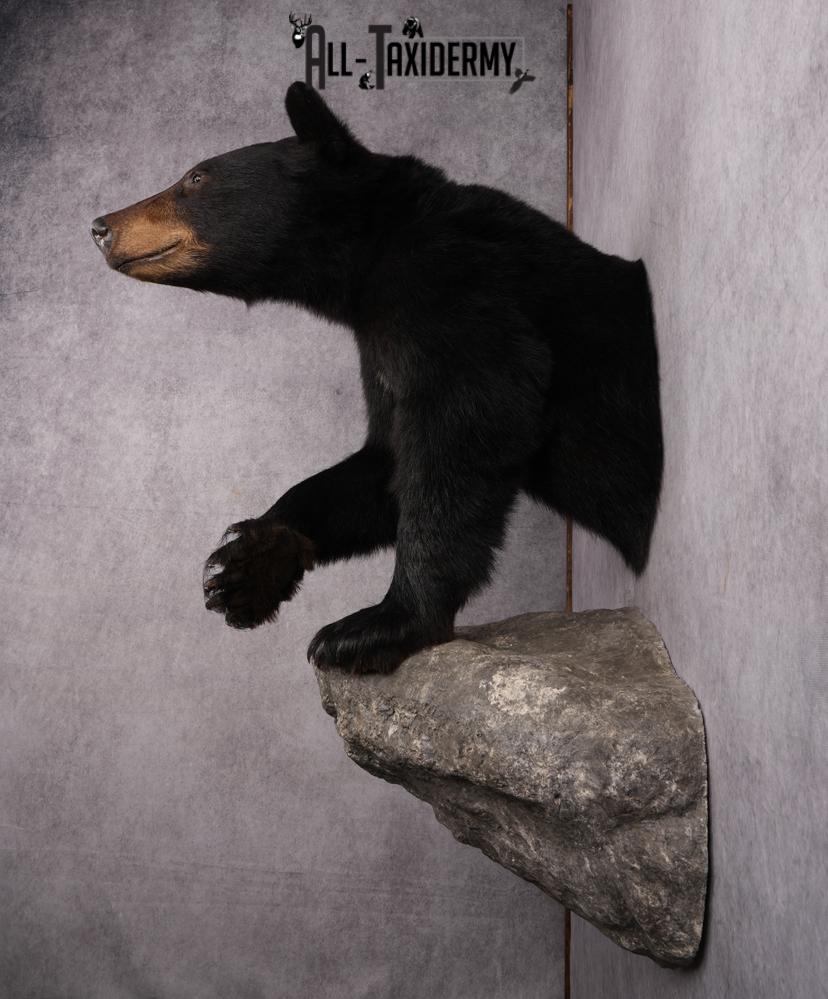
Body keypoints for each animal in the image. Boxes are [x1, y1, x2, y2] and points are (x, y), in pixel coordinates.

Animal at [91, 81, 663, 674]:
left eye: (196, 178)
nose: (101, 226)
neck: (371, 253)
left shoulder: (458, 295)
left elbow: (465, 436)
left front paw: (379, 625)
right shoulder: (381, 344)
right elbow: (386, 458)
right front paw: (250, 565)